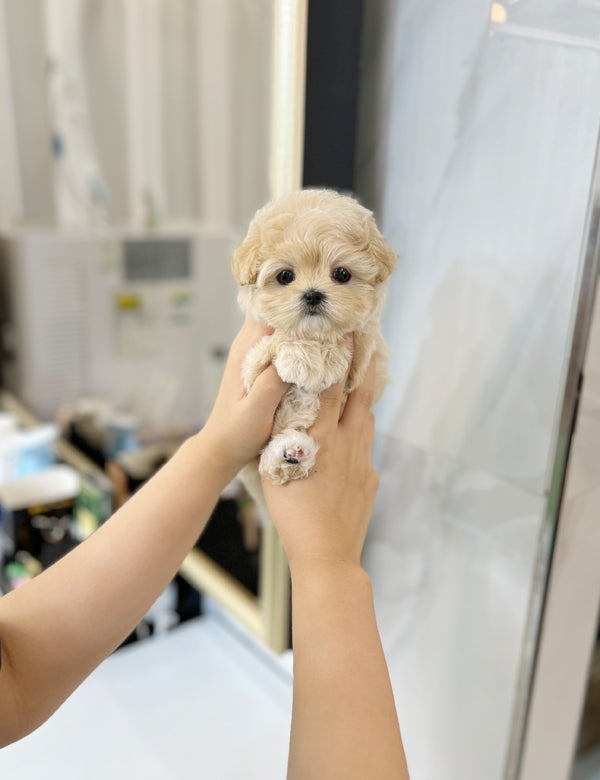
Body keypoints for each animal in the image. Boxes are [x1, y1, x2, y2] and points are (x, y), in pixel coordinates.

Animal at [232, 189, 396, 502]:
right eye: (285, 276)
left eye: (342, 274)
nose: (312, 295)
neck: (313, 334)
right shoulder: (249, 370)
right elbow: (273, 343)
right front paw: (303, 360)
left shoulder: (367, 355)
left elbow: (352, 344)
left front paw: (326, 358)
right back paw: (286, 455)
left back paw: (293, 453)